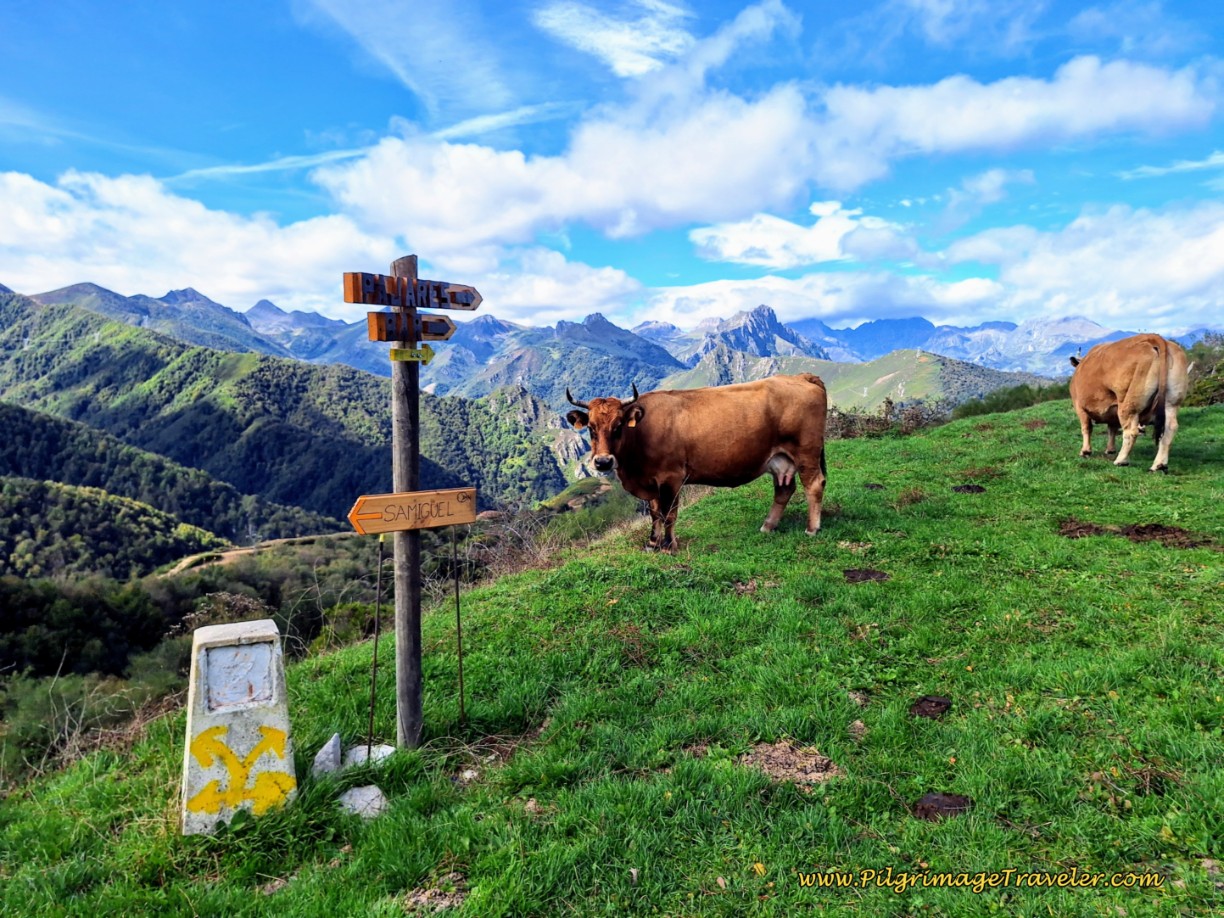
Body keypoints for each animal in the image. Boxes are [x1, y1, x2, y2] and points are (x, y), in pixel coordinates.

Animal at [564, 373, 828, 552]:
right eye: (591, 428)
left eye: (618, 426)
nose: (603, 462)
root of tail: (799, 376)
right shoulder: (650, 480)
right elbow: (654, 513)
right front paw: (652, 543)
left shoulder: (671, 477)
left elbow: (669, 513)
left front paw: (668, 545)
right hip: (779, 460)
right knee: (784, 489)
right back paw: (768, 526)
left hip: (806, 452)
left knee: (814, 484)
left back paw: (812, 528)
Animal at [1068, 333, 1190, 472]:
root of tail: (1152, 337)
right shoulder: (1112, 410)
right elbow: (1112, 429)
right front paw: (1110, 449)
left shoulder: (1079, 406)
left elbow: (1087, 428)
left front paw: (1085, 451)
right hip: (1172, 402)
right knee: (1170, 428)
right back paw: (1159, 465)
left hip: (1128, 404)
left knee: (1131, 431)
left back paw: (1121, 460)